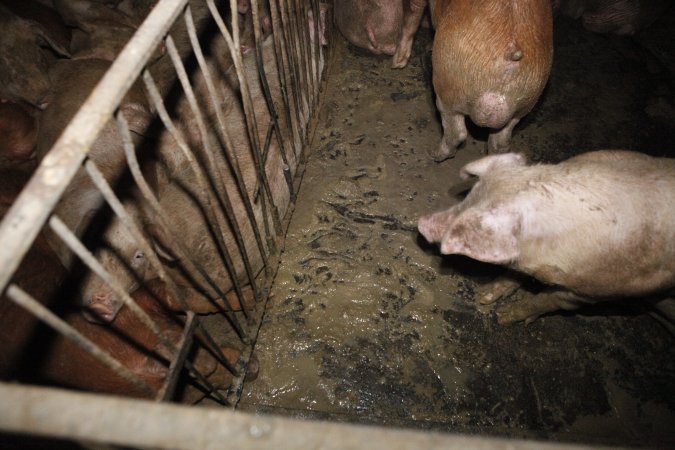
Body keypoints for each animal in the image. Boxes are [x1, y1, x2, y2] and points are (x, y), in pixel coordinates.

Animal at [418, 150, 675, 324]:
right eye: (470, 195)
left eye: (479, 215)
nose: (422, 222)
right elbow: (514, 274)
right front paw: (483, 298)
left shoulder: (596, 292)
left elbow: (545, 300)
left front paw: (504, 318)